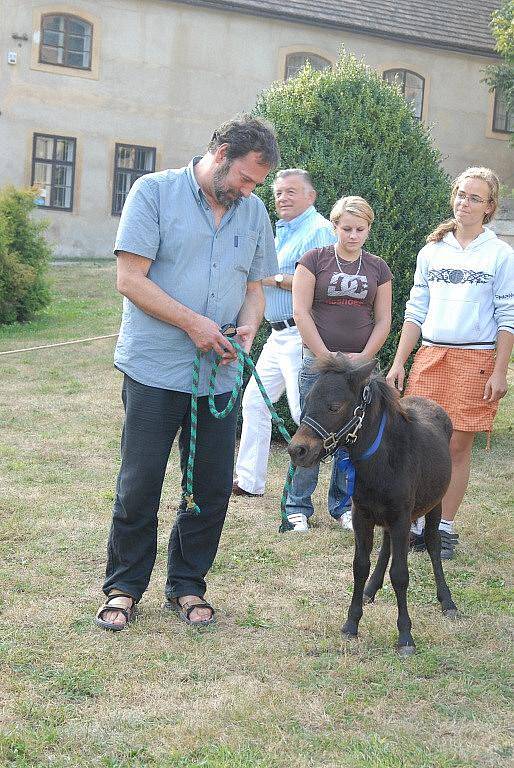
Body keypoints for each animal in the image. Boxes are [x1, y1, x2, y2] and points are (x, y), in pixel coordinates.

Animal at [288, 356, 456, 656]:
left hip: (433, 505)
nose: (298, 450)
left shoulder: (402, 518)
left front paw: (405, 637)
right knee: (387, 545)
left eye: (335, 406)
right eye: (306, 400)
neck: (381, 461)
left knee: (433, 545)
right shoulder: (362, 516)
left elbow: (400, 574)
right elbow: (360, 566)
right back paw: (371, 589)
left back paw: (447, 601)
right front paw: (351, 624)